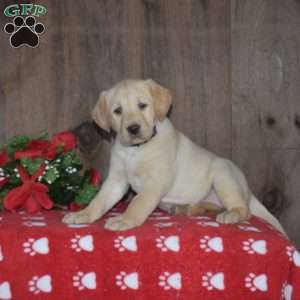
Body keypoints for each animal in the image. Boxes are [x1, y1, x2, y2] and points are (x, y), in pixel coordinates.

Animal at [63, 78, 286, 234]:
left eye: (142, 105)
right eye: (117, 111)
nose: (133, 128)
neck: (136, 149)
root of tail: (247, 190)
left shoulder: (156, 181)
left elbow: (138, 202)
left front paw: (125, 219)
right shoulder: (116, 180)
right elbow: (99, 201)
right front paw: (82, 214)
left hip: (223, 174)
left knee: (243, 209)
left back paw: (230, 214)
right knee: (210, 206)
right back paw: (185, 209)